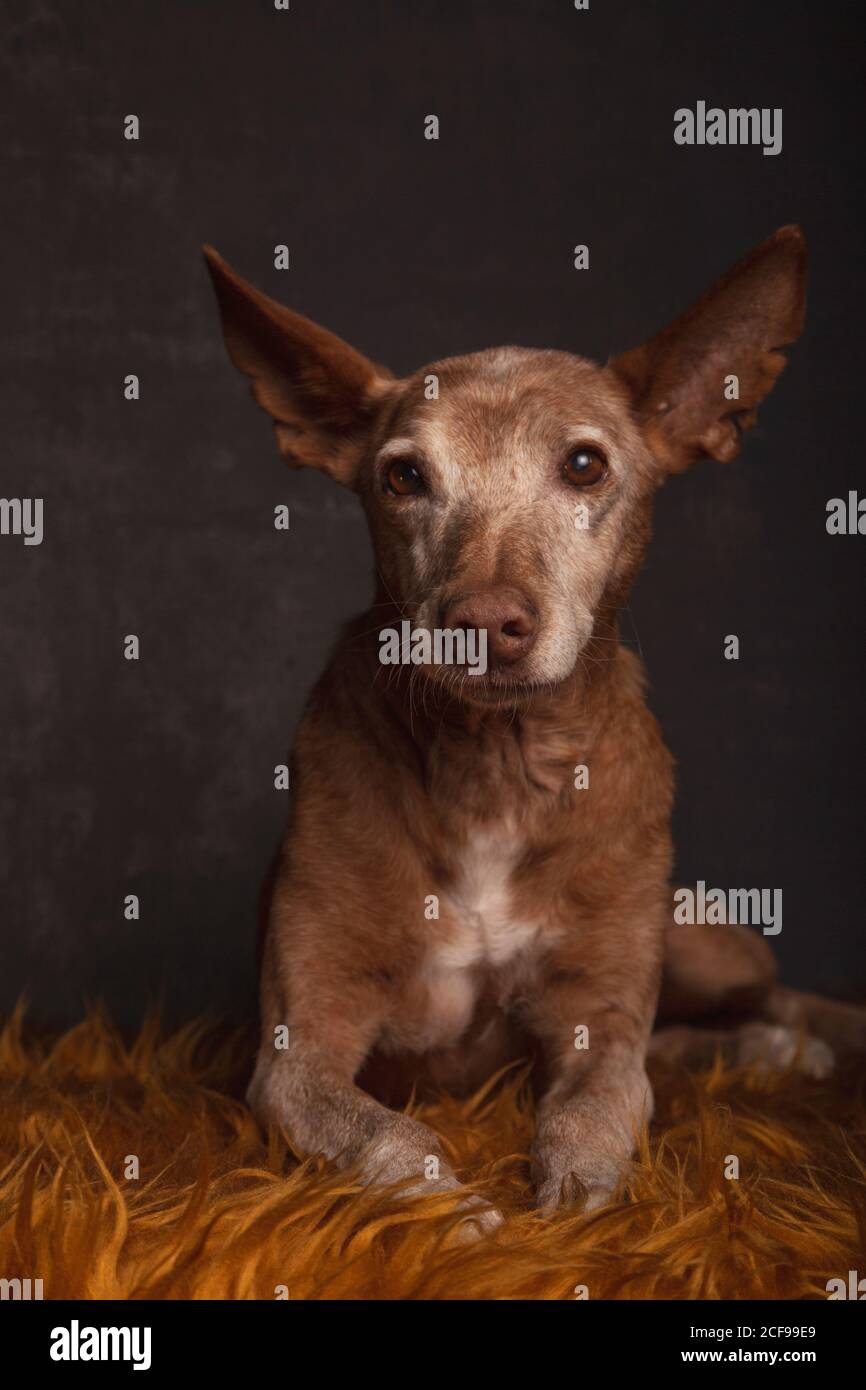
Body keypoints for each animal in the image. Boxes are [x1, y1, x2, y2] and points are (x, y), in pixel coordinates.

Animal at [204, 227, 866, 1217]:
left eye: (584, 465)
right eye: (403, 476)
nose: (484, 622)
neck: (495, 767)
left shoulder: (601, 1028)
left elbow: (594, 1113)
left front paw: (570, 1212)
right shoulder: (299, 1051)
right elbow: (386, 1133)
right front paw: (454, 1213)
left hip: (705, 936)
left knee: (763, 1000)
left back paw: (795, 1039)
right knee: (683, 1043)